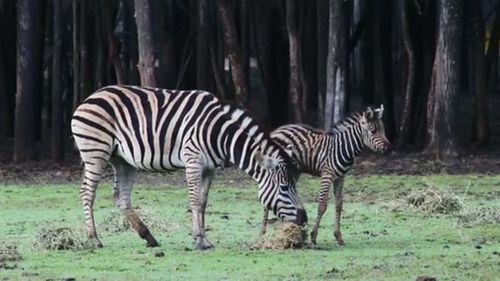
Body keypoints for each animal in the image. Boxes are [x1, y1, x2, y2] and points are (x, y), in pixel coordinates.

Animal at [70, 84, 304, 248]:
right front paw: (198, 240)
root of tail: (89, 97)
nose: (304, 218)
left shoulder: (211, 169)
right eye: (284, 188)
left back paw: (148, 237)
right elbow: (193, 200)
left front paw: (205, 239)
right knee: (87, 193)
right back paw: (94, 239)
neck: (220, 135)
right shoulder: (193, 161)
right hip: (96, 152)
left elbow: (202, 202)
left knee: (121, 197)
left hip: (123, 160)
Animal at [264, 104, 392, 244]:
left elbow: (339, 205)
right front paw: (313, 236)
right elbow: (322, 205)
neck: (343, 147)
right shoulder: (327, 174)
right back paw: (262, 233)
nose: (389, 149)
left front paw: (338, 236)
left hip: (293, 171)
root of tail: (275, 131)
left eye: (383, 130)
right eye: (373, 131)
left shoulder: (340, 177)